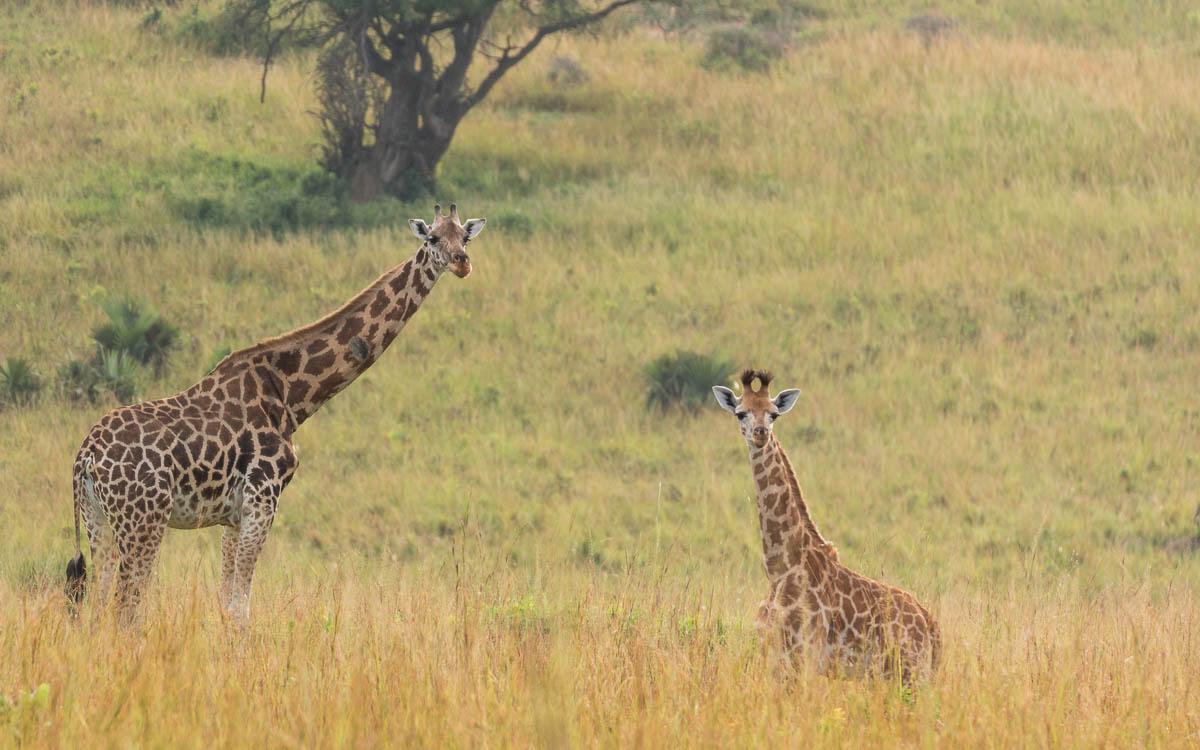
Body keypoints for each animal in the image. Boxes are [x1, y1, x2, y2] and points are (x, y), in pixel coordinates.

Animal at [64, 203, 486, 624]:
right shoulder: (262, 500)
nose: (462, 263)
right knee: (126, 608)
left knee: (100, 605)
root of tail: (86, 456)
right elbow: (241, 607)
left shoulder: (234, 516)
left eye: (464, 237)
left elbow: (227, 601)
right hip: (143, 519)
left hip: (99, 520)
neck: (290, 397)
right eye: (433, 238)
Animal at [713, 370, 940, 685]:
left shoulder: (808, 657)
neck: (780, 569)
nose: (760, 433)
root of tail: (929, 621)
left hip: (909, 673)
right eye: (740, 413)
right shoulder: (774, 658)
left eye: (773, 414)